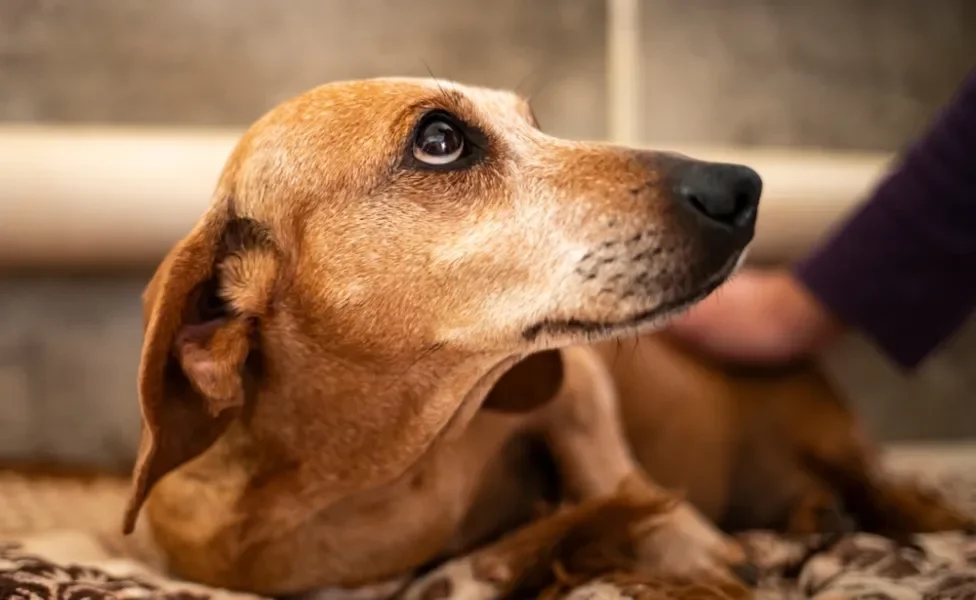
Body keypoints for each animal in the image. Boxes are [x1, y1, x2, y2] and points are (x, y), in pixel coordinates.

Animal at [120, 78, 968, 596]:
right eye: (439, 139)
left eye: (533, 122)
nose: (743, 187)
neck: (374, 469)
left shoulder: (577, 385)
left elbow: (615, 475)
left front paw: (683, 549)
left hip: (840, 444)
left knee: (882, 485)